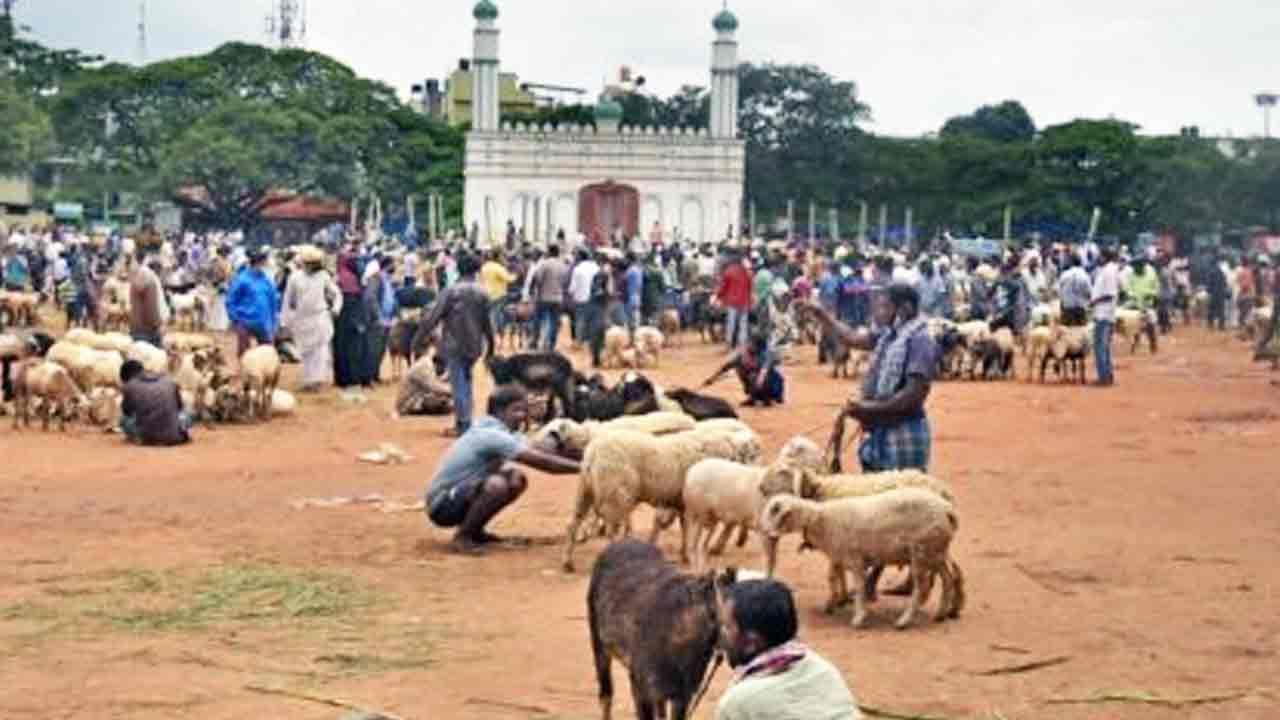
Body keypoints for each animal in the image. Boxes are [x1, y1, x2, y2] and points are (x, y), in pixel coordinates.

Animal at [752, 489, 962, 625]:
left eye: (773, 511)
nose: (764, 531)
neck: (821, 520)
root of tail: (947, 510)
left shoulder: (855, 559)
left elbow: (860, 586)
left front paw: (859, 617)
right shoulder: (837, 556)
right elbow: (832, 577)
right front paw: (832, 603)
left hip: (921, 551)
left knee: (921, 587)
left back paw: (904, 620)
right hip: (936, 551)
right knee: (948, 579)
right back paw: (941, 614)